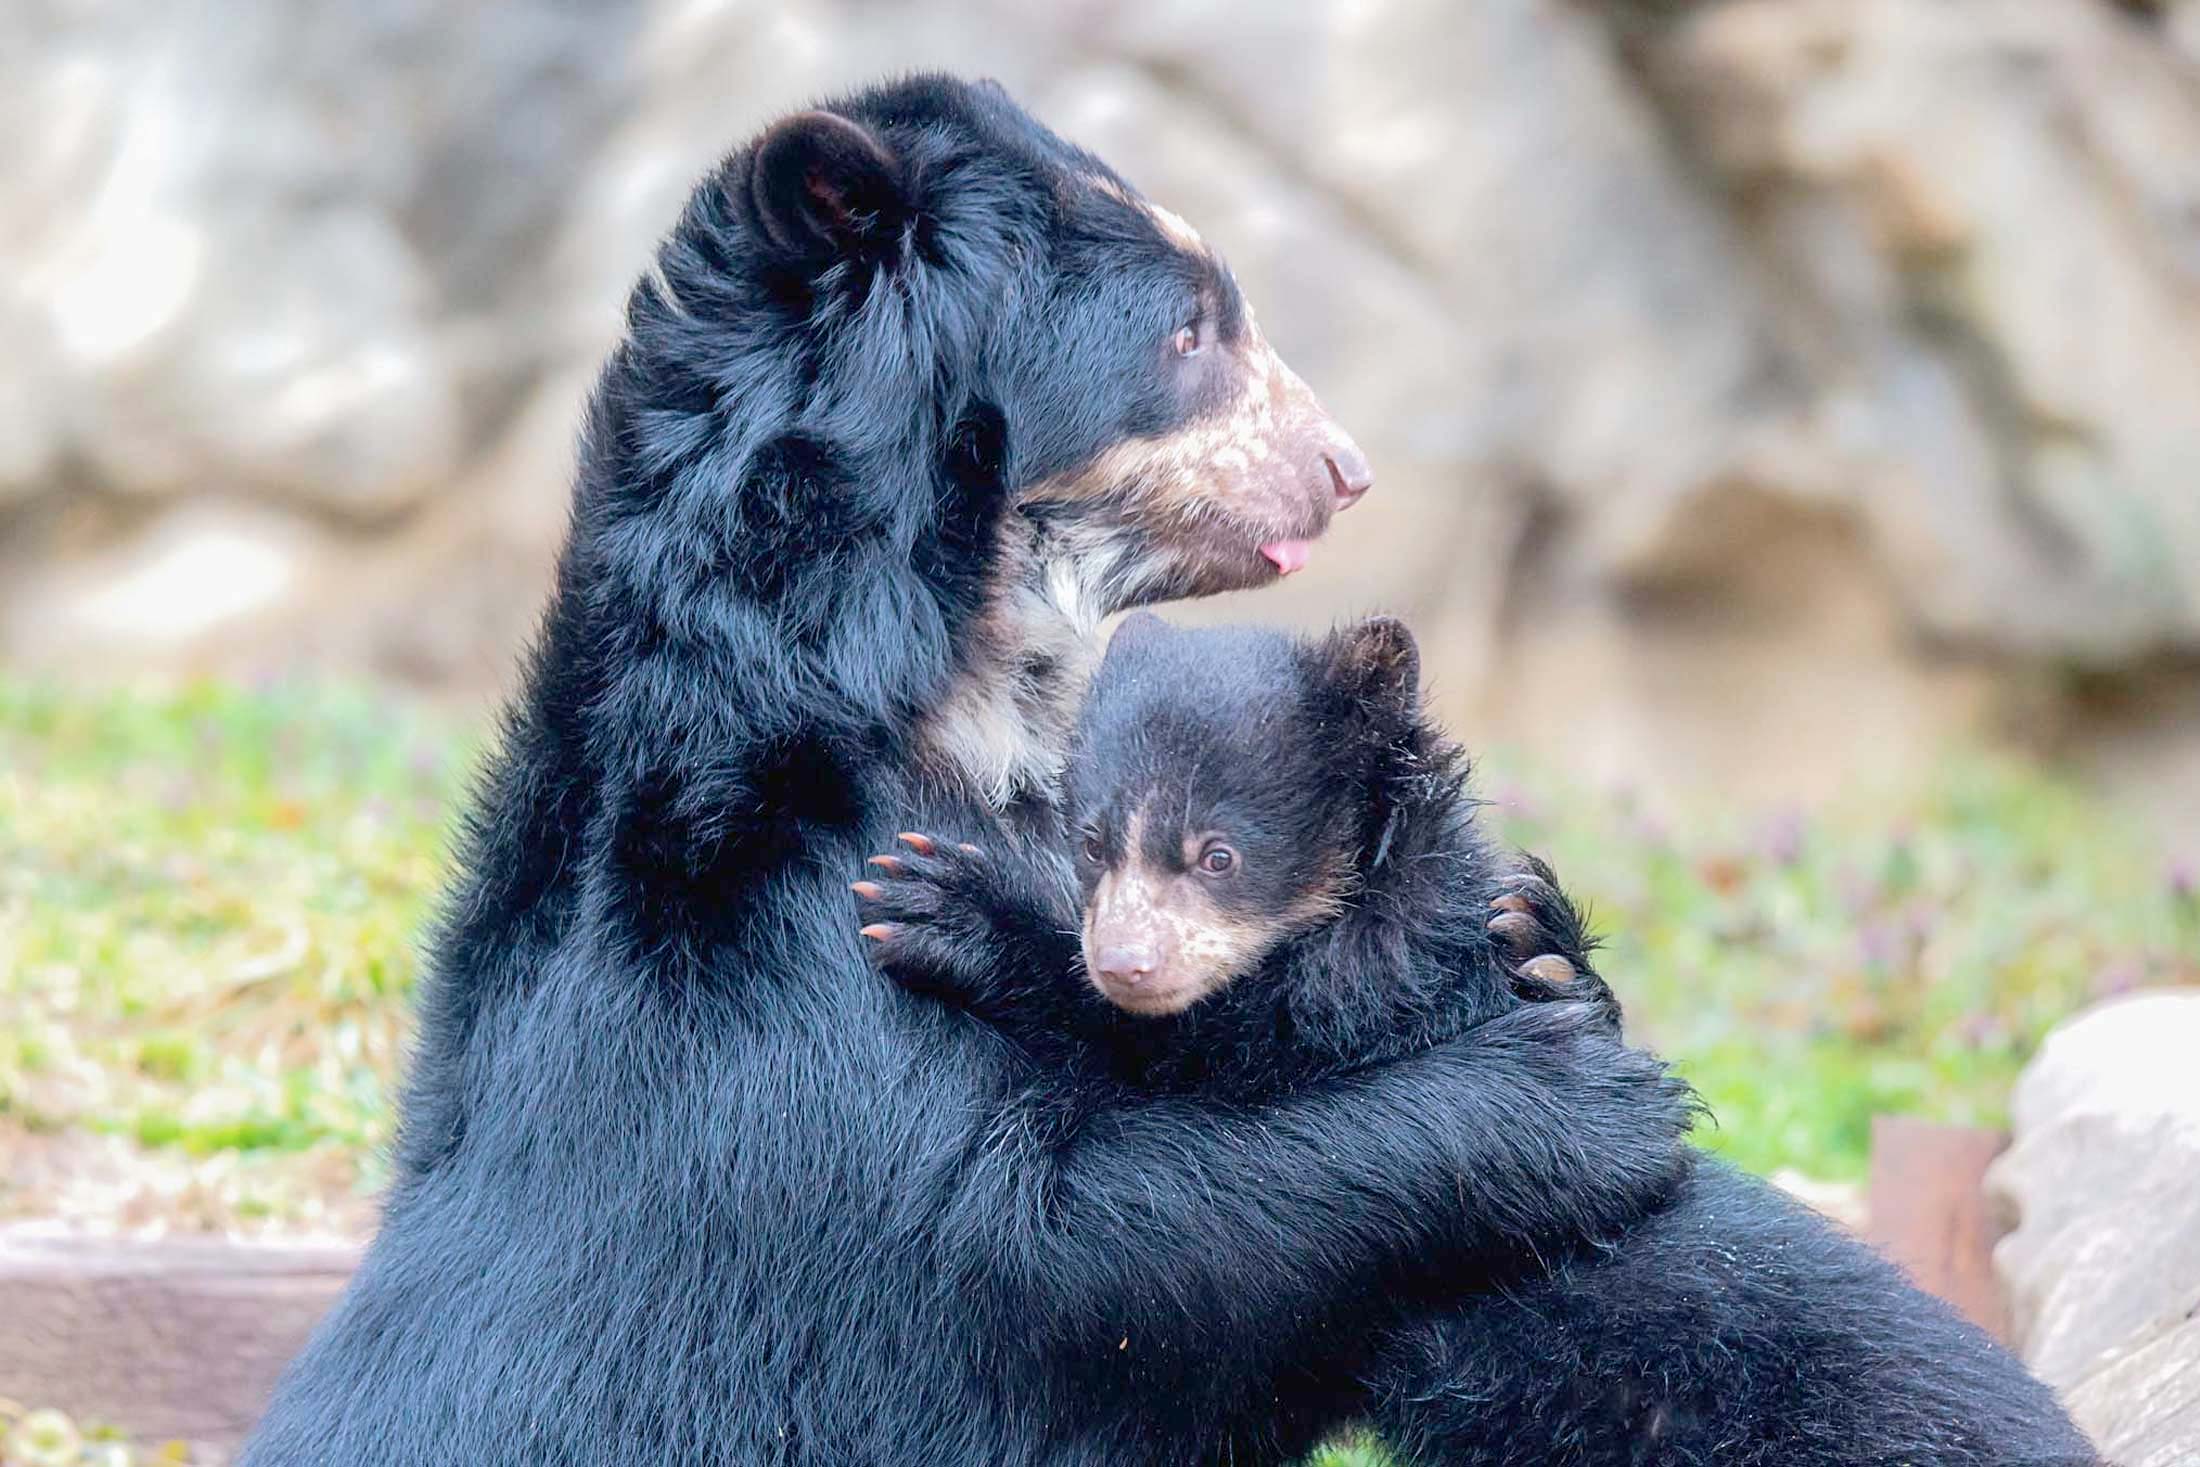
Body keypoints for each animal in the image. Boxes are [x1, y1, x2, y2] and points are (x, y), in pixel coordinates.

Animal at [240, 80, 1689, 1467]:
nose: (1346, 472)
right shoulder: (775, 948)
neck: (943, 668)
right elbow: (1047, 1239)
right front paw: (1585, 1100)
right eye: (1189, 332)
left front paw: (1539, 947)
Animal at [853, 615, 2094, 1467]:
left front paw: (946, 910)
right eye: (1093, 840)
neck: (1361, 902)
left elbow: (1193, 1064)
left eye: (1216, 854)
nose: (1126, 962)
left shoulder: (1357, 1003)